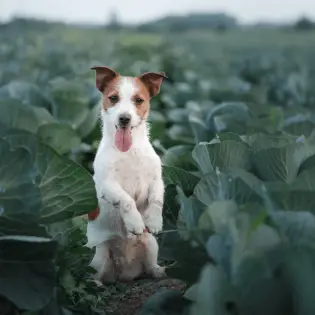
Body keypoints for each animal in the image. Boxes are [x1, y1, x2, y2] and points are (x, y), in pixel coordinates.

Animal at [84, 66, 168, 284]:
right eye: (113, 98)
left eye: (139, 100)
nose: (124, 118)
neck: (130, 151)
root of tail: (125, 272)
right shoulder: (108, 184)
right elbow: (127, 200)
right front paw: (135, 222)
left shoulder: (157, 180)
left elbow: (156, 200)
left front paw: (154, 221)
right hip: (100, 254)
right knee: (96, 274)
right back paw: (96, 283)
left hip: (151, 244)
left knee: (150, 266)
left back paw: (159, 271)